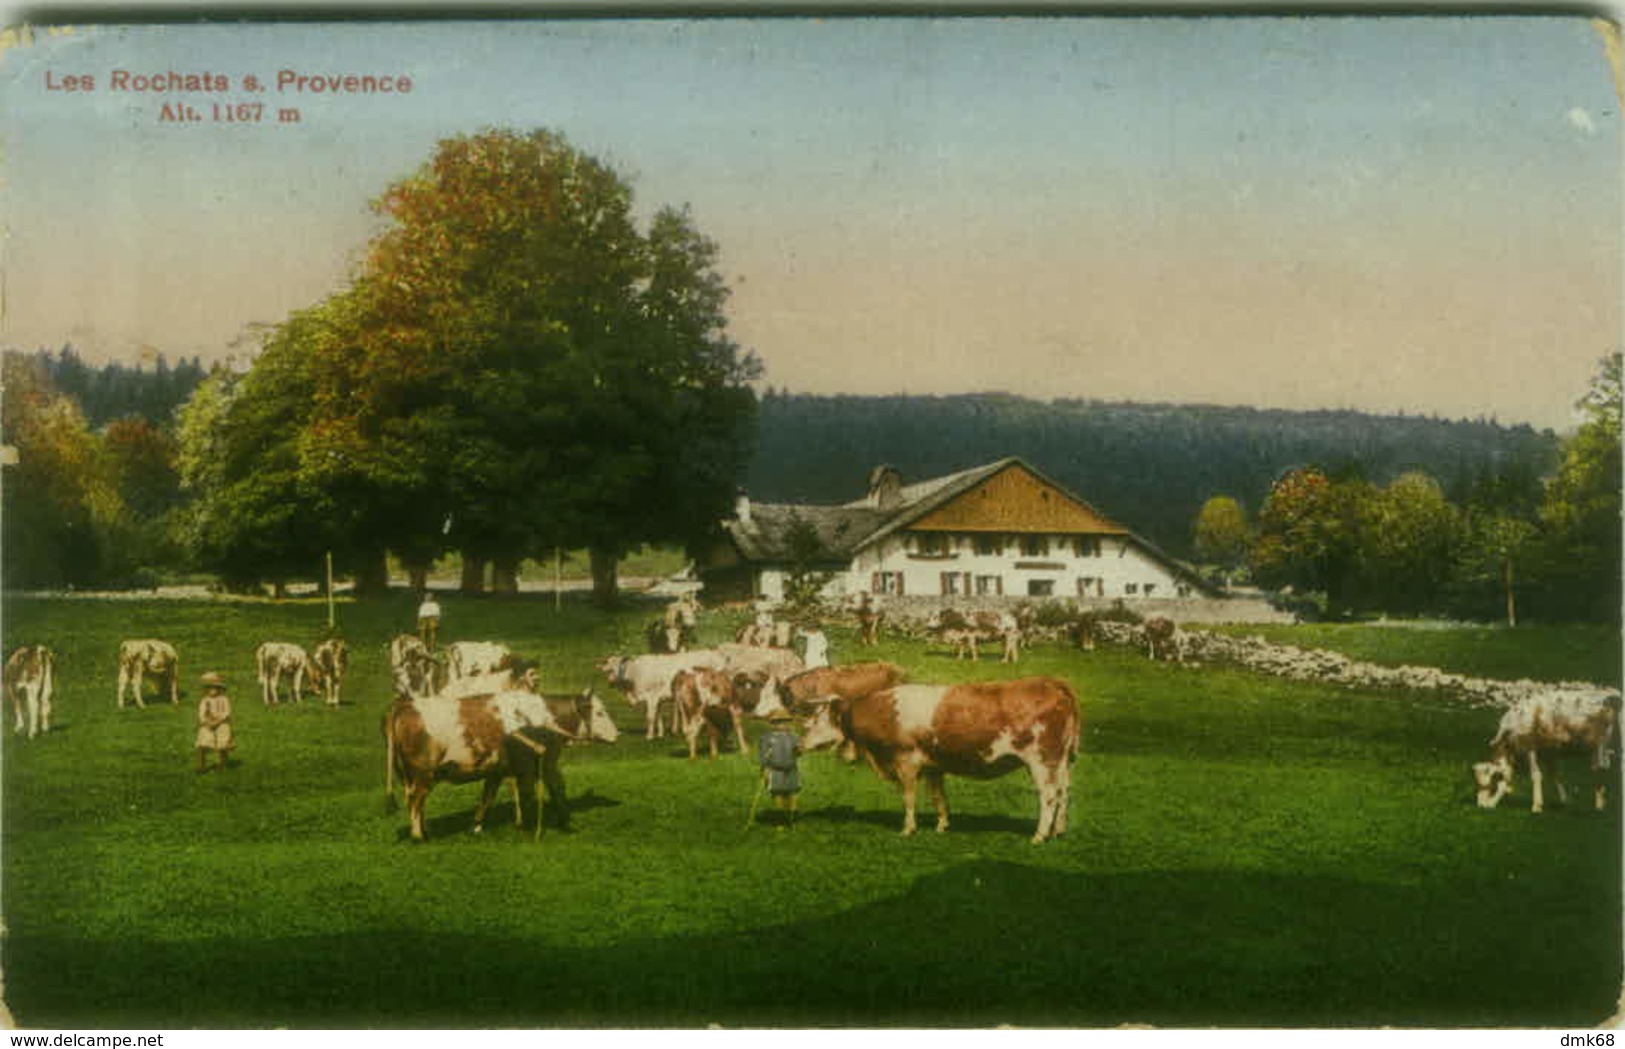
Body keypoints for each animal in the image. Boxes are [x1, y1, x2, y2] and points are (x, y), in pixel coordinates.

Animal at [386, 691, 572, 844]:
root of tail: (404, 706)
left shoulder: (498, 770)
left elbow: (488, 797)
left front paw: (475, 828)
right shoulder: (533, 766)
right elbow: (546, 790)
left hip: (408, 774)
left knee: (412, 799)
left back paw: (423, 832)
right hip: (424, 773)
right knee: (416, 799)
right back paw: (419, 837)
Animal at [799, 682, 1079, 844]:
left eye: (813, 721)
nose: (798, 744)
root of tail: (1052, 684)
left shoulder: (906, 760)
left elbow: (908, 798)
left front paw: (908, 829)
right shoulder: (934, 765)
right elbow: (938, 796)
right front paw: (942, 825)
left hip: (1043, 760)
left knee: (1049, 796)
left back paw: (1039, 835)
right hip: (1063, 762)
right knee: (1064, 793)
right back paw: (1059, 830)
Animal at [1469, 695, 1618, 818]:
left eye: (1488, 784)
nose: (1481, 806)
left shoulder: (1529, 748)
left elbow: (1534, 775)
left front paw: (1536, 806)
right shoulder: (1547, 753)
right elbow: (1555, 775)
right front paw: (1564, 801)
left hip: (1600, 744)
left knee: (1602, 770)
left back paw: (1599, 807)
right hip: (1600, 749)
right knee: (1601, 768)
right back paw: (1600, 803)